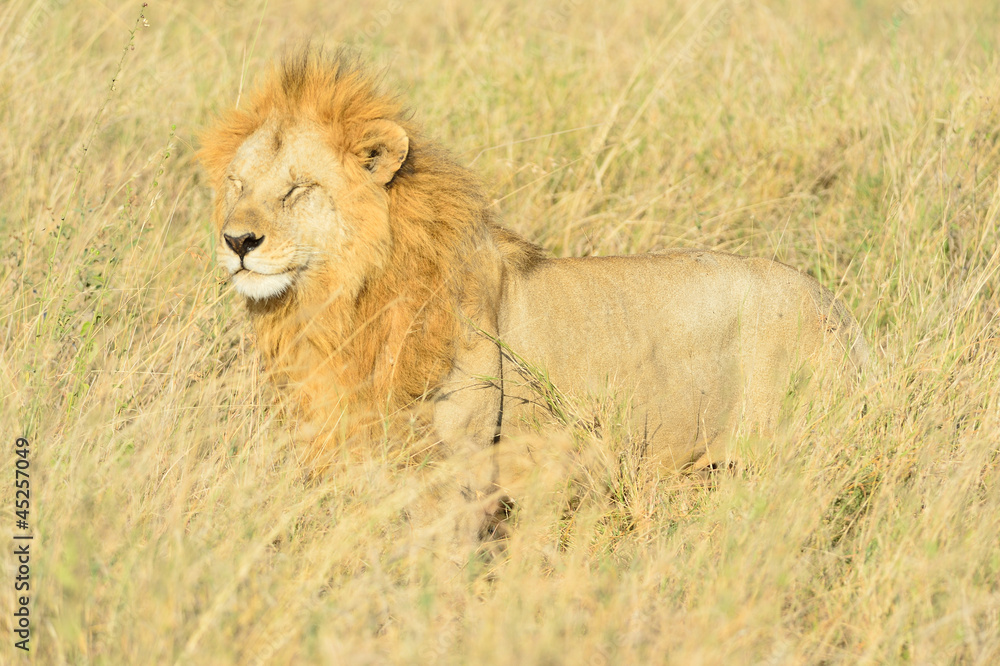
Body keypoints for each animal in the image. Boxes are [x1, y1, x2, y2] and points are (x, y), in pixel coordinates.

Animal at [198, 51, 868, 539]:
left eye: (298, 189)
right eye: (237, 183)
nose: (238, 241)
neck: (337, 306)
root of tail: (835, 306)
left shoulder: (459, 469)